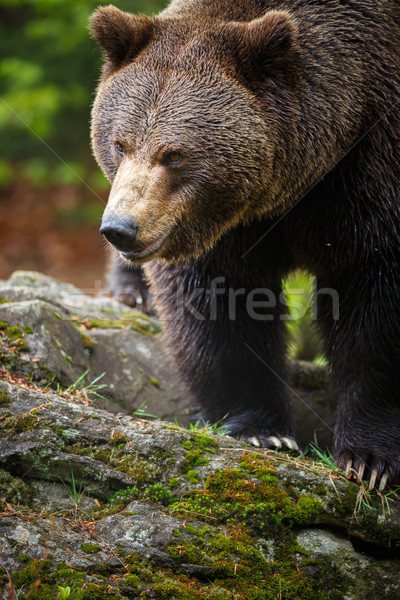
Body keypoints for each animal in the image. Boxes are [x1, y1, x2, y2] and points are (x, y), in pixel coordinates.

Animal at [90, 0, 400, 490]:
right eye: (120, 144)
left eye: (174, 154)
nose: (121, 228)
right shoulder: (220, 228)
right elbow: (220, 305)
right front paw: (261, 429)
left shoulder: (368, 174)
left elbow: (374, 306)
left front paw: (369, 459)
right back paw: (132, 291)